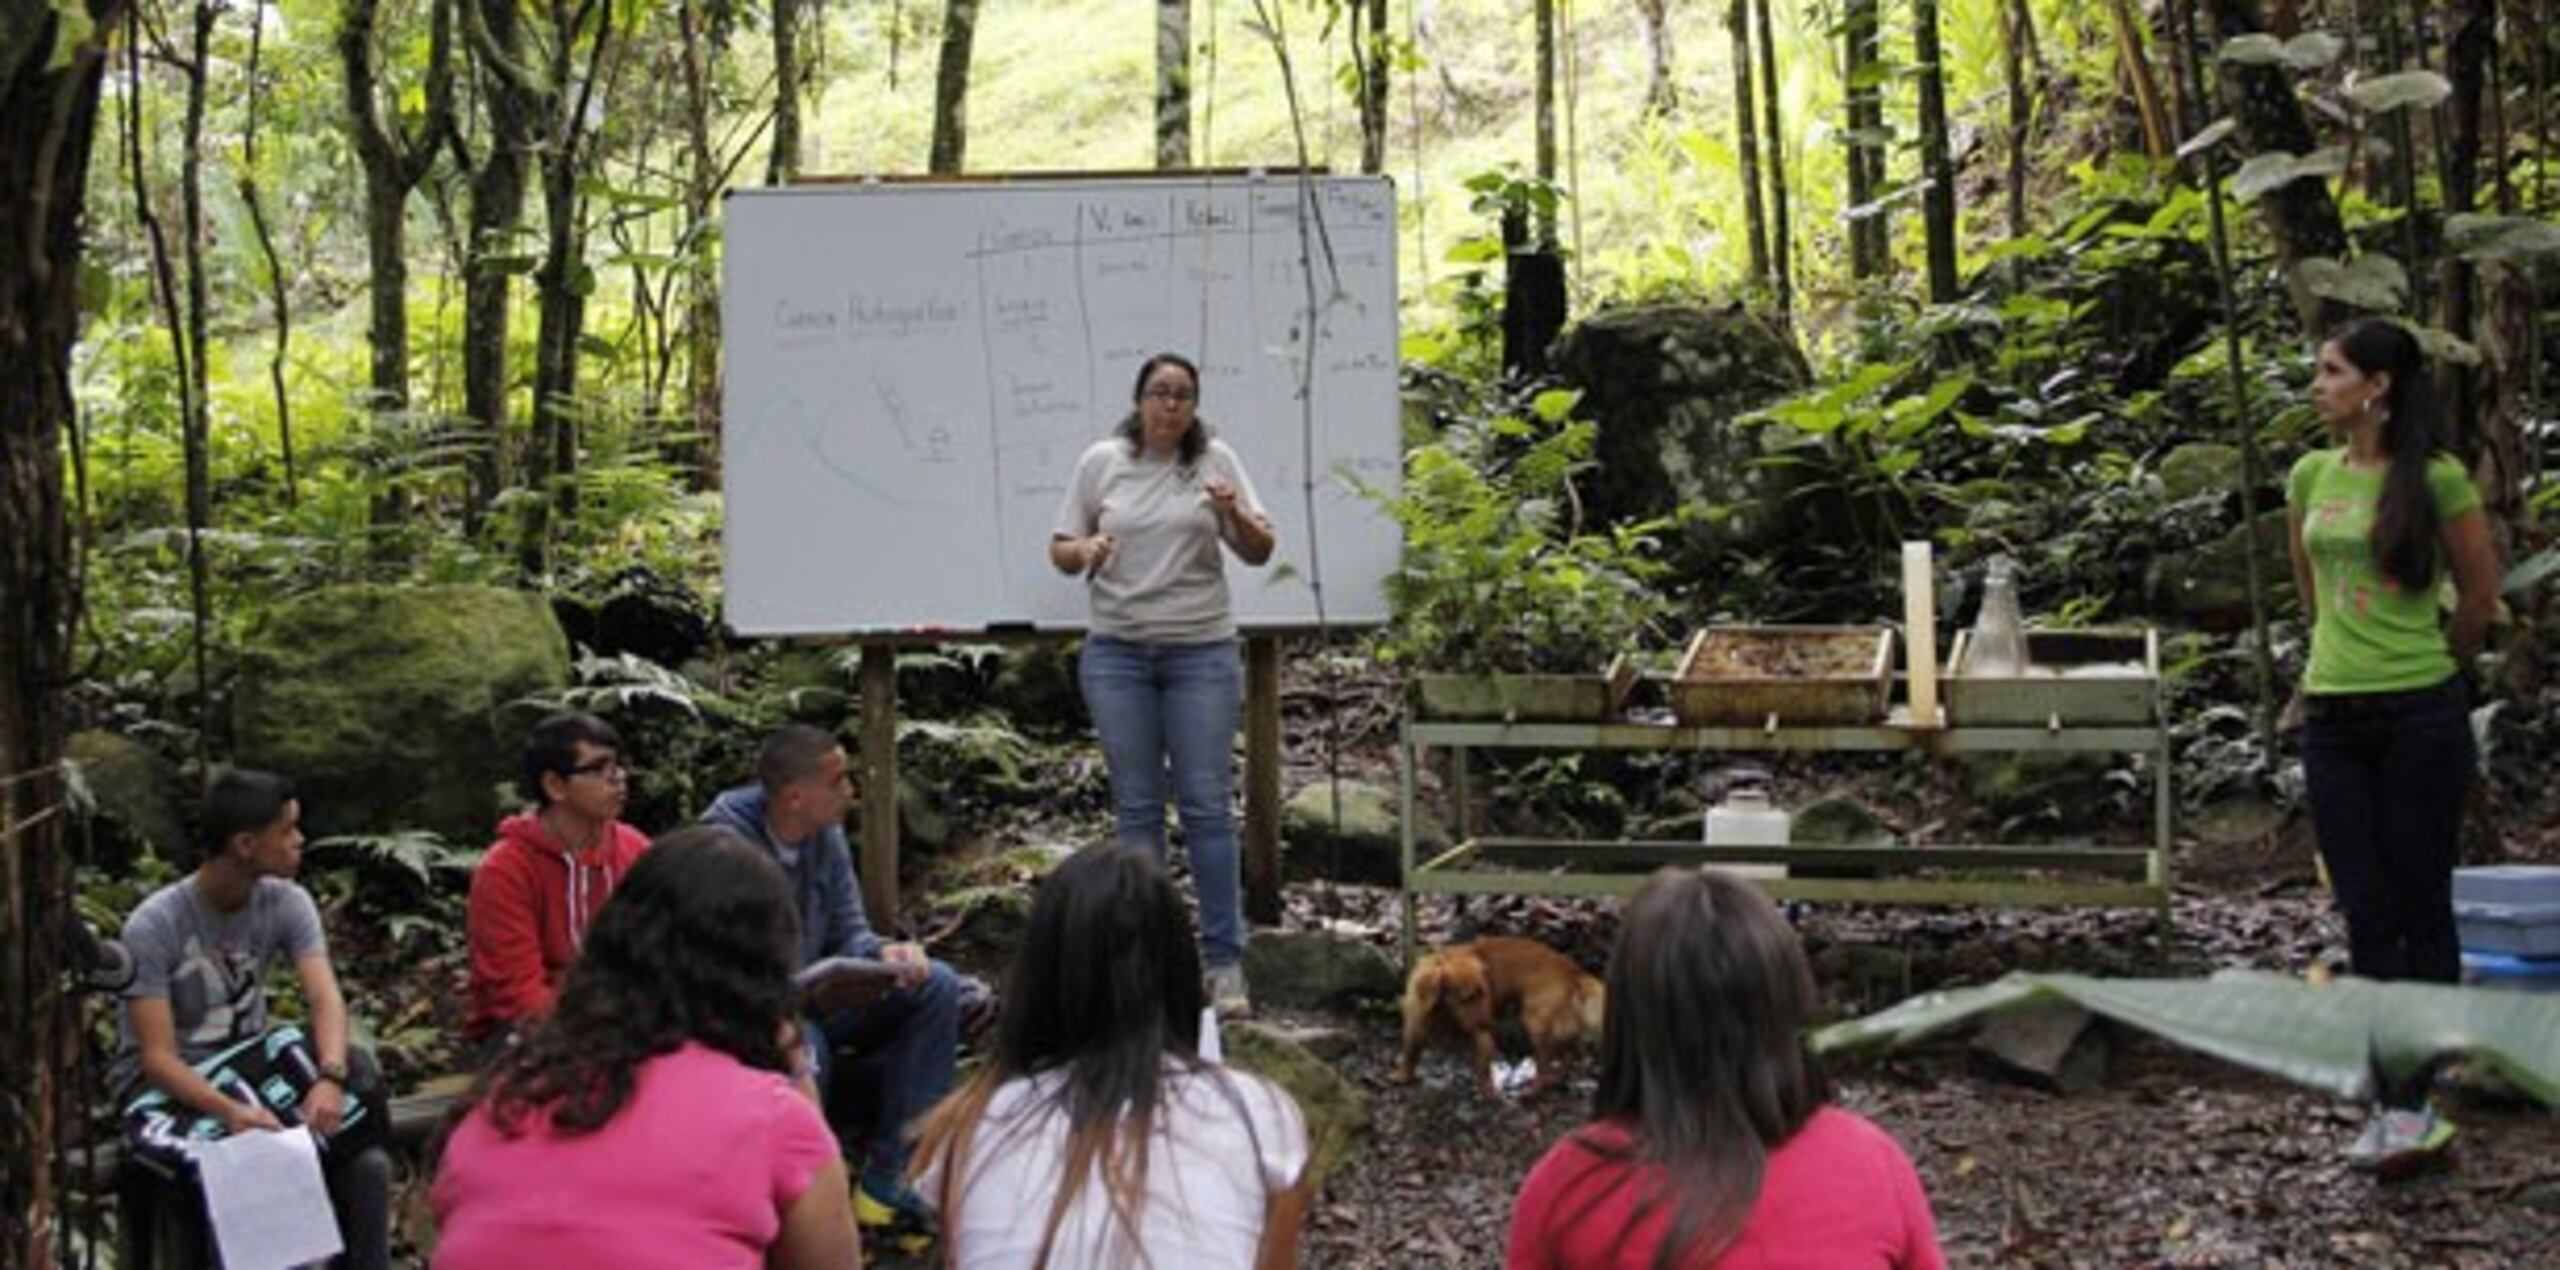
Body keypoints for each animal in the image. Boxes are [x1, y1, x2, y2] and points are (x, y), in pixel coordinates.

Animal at [1402, 932, 1597, 1101]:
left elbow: (1483, 1067)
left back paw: (1535, 1090)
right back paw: (1558, 1079)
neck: (1444, 1015)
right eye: (1467, 998)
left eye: (1484, 993)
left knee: (1545, 1060)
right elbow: (1410, 1052)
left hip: (1535, 1022)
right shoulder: (1414, 1024)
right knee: (1571, 1052)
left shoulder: (1482, 1036)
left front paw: (1487, 1091)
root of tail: (1573, 971)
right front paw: (1404, 1076)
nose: (1490, 1023)